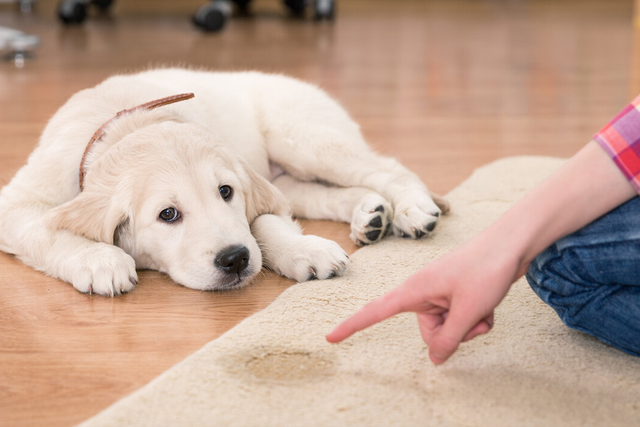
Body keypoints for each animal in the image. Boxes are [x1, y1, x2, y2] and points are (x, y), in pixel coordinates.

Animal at [0, 70, 450, 298]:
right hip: (292, 173)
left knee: (387, 168)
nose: (234, 260)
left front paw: (303, 250)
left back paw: (412, 210)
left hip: (303, 138)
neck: (129, 122)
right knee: (328, 194)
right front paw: (100, 260)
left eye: (226, 192)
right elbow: (45, 229)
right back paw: (370, 216)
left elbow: (262, 222)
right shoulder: (17, 203)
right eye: (168, 214)